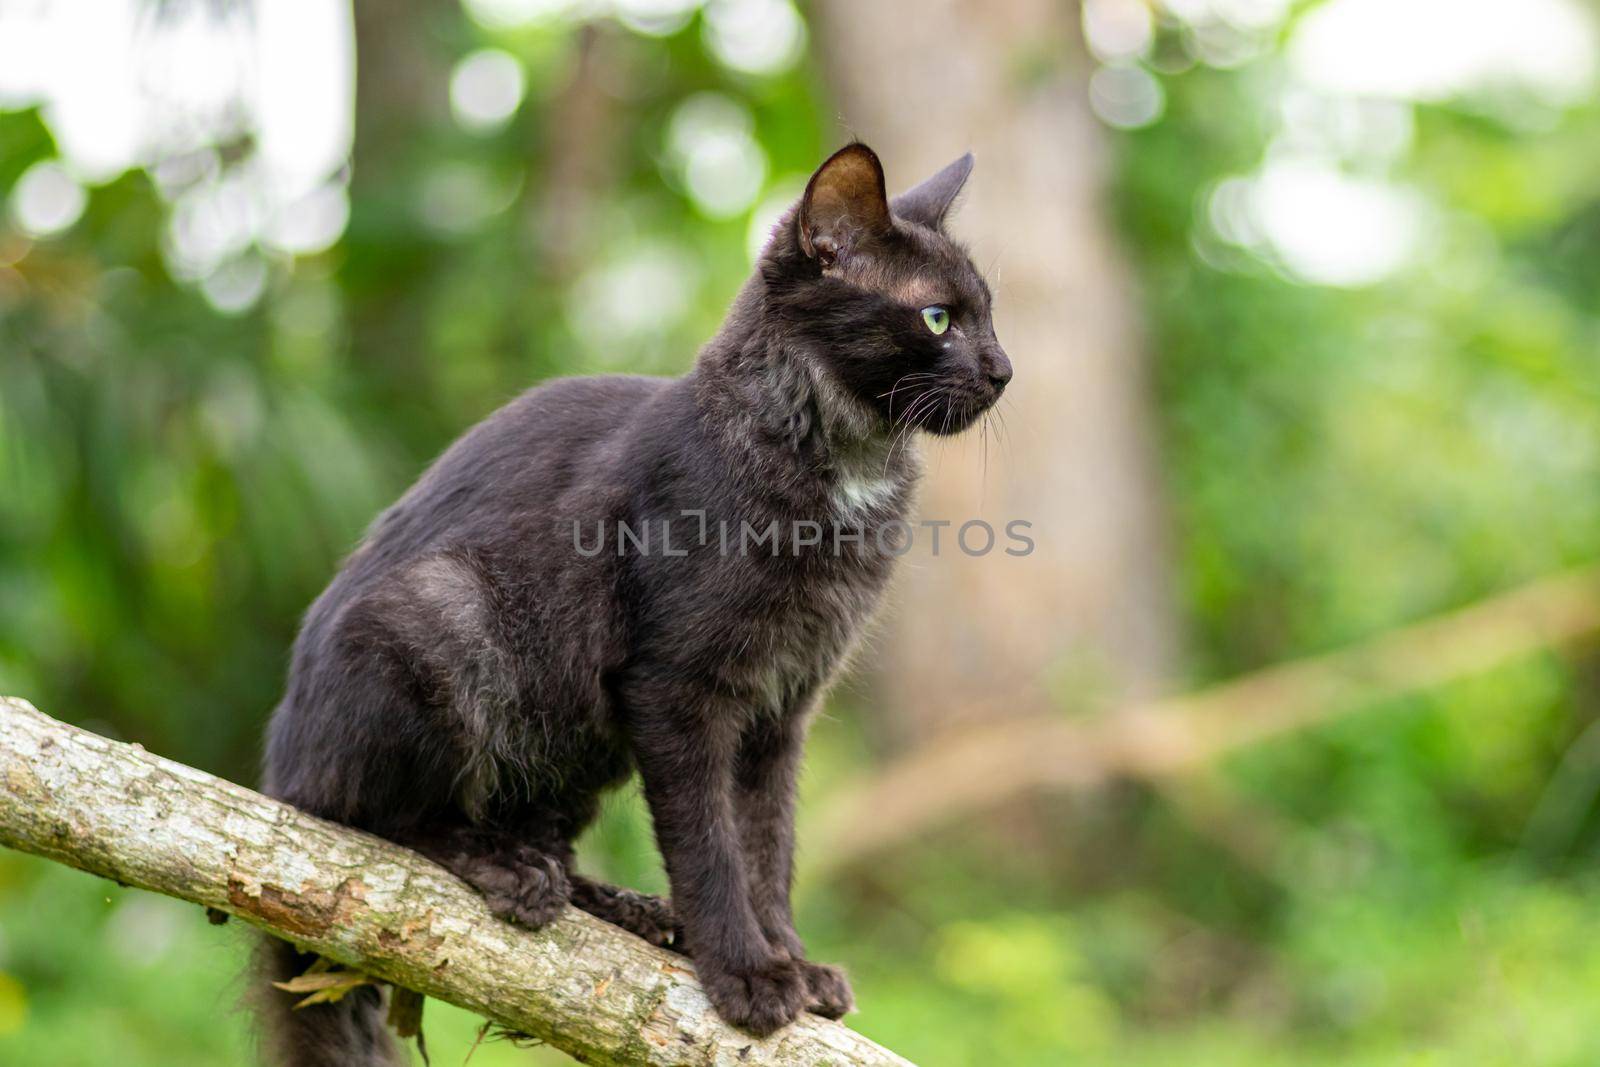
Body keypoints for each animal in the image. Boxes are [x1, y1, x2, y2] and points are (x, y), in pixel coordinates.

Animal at [260, 139, 1011, 1062]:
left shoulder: (781, 707)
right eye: (939, 318)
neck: (845, 472)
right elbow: (708, 843)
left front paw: (793, 960)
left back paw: (626, 908)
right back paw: (508, 869)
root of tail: (278, 767)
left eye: (989, 315)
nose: (1004, 370)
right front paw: (747, 973)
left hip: (579, 735)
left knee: (540, 829)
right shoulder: (675, 687)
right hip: (445, 616)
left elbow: (768, 846)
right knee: (370, 819)